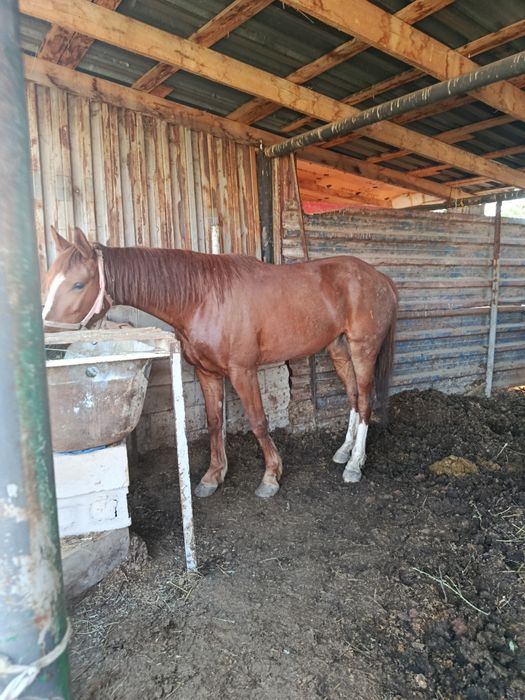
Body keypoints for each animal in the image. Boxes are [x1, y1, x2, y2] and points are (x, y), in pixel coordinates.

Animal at [42, 226, 398, 498]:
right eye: (48, 280)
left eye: (78, 284)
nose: (49, 341)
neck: (202, 297)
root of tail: (380, 278)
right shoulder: (207, 373)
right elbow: (214, 423)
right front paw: (213, 476)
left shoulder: (243, 371)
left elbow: (258, 421)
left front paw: (271, 476)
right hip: (338, 350)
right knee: (354, 398)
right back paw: (344, 452)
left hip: (364, 351)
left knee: (366, 401)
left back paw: (354, 465)